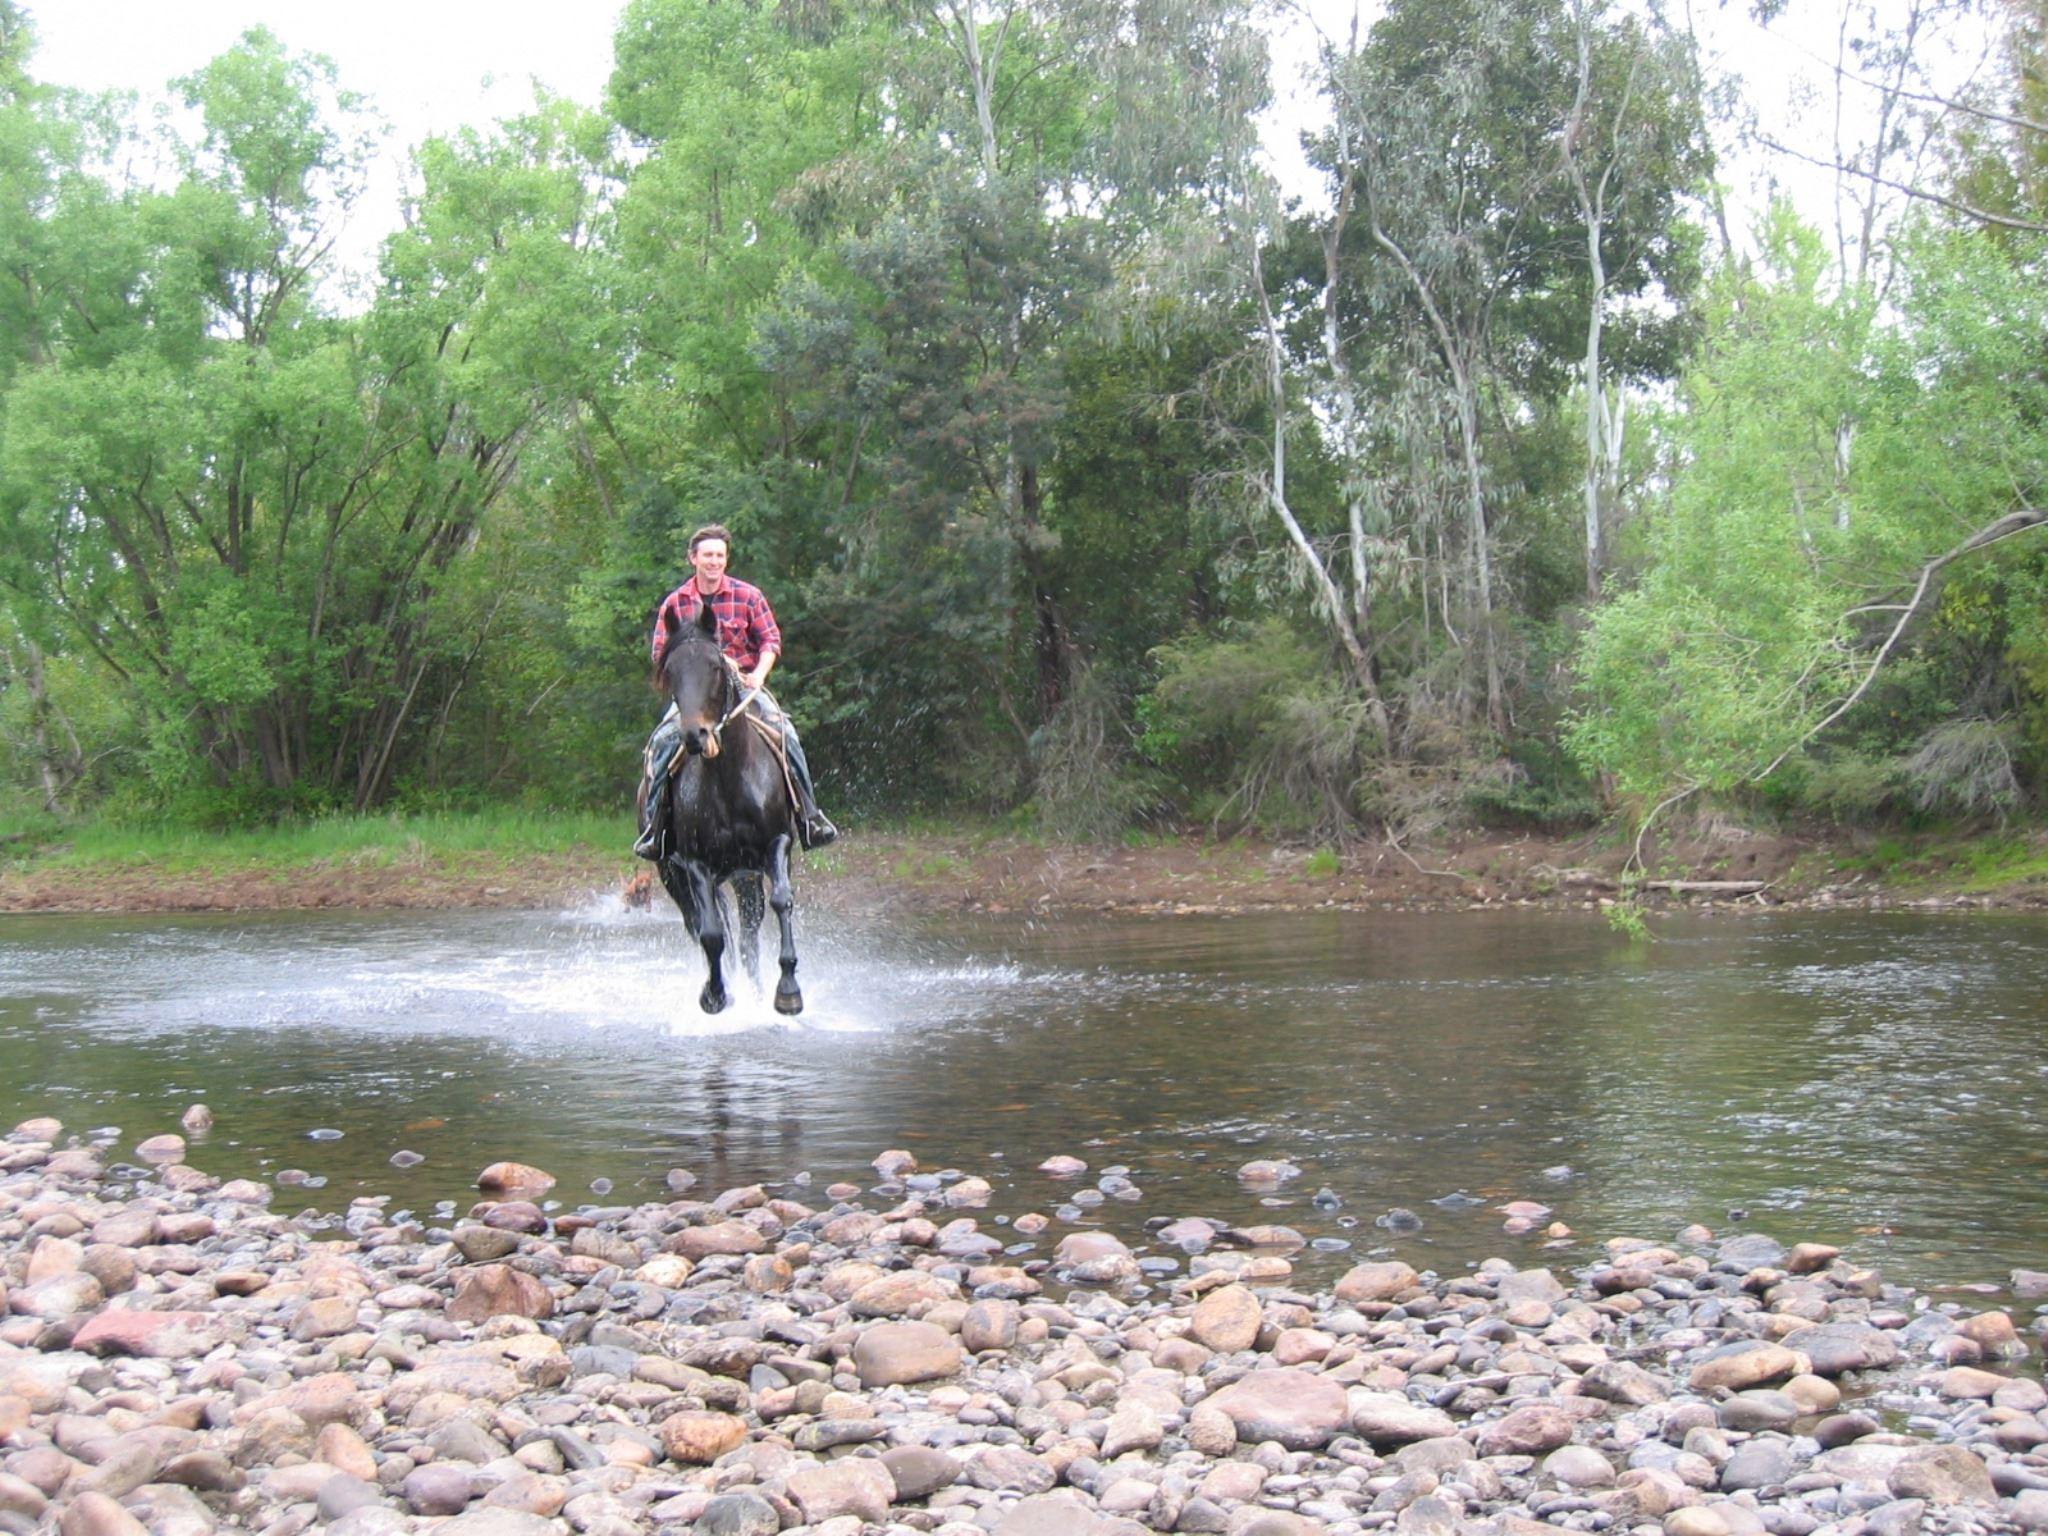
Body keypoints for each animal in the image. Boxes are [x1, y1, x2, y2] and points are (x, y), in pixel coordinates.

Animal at [647, 606, 798, 1024]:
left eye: (716, 666)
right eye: (670, 669)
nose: (695, 735)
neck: (730, 781)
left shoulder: (777, 844)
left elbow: (782, 901)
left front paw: (788, 992)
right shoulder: (695, 863)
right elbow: (712, 935)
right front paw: (715, 996)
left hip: (745, 877)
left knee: (747, 938)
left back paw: (759, 992)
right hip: (674, 877)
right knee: (705, 929)